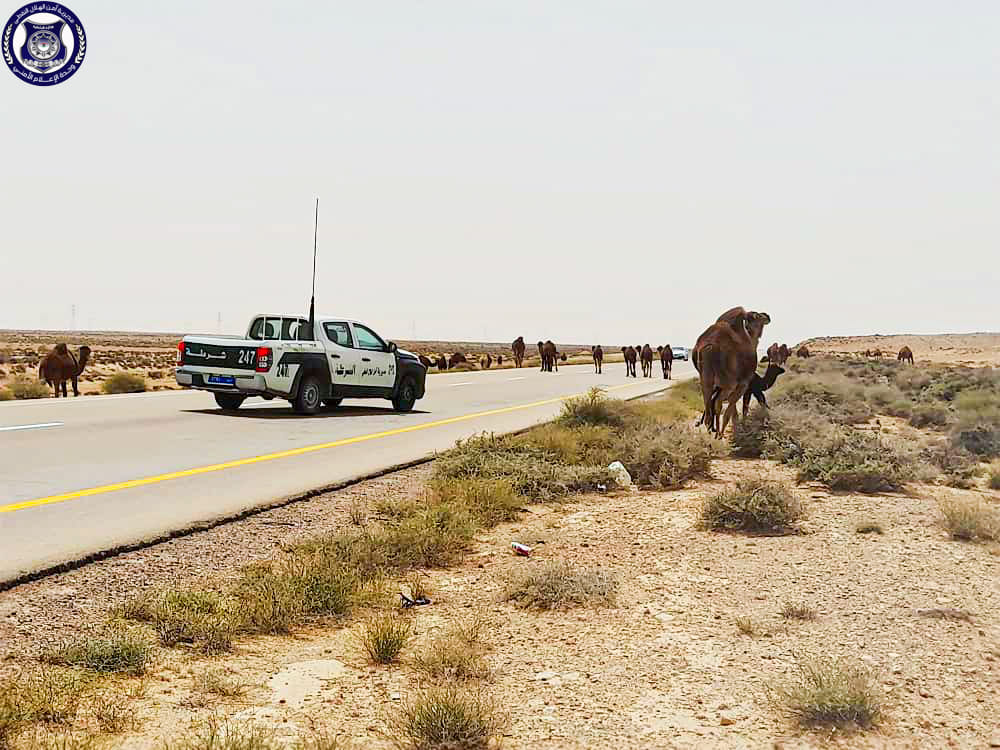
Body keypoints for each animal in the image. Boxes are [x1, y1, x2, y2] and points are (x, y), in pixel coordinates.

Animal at [696, 308, 772, 438]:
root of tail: (709, 348)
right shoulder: (743, 384)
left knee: (709, 408)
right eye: (757, 315)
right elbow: (734, 409)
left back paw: (711, 435)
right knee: (718, 403)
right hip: (729, 383)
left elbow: (732, 410)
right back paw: (719, 435)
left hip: (706, 380)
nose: (767, 315)